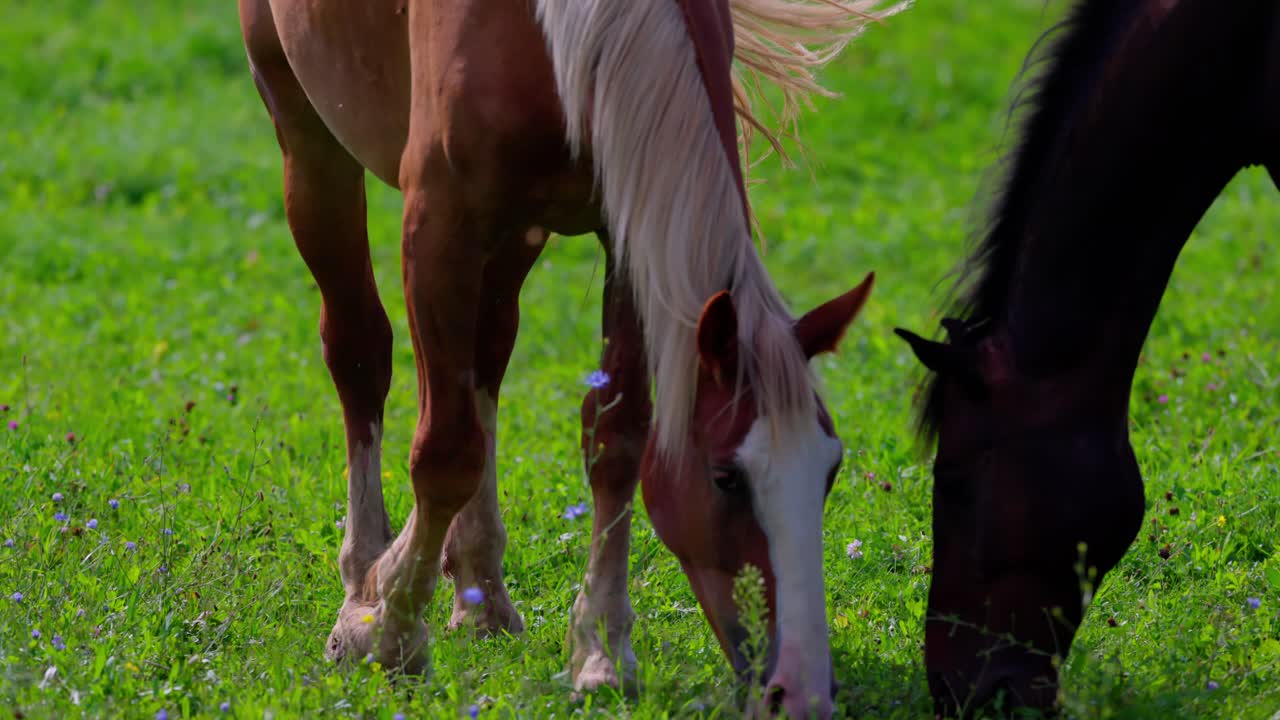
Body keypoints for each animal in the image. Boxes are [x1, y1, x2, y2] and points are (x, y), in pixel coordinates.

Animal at [237, 1, 901, 716]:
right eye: (727, 477)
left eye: (830, 468)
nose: (801, 688)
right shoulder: (437, 223)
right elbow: (445, 453)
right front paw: (390, 634)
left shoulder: (627, 225)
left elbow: (616, 439)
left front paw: (601, 654)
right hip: (306, 131)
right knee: (360, 351)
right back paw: (362, 579)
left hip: (517, 232)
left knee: (487, 355)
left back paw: (480, 596)